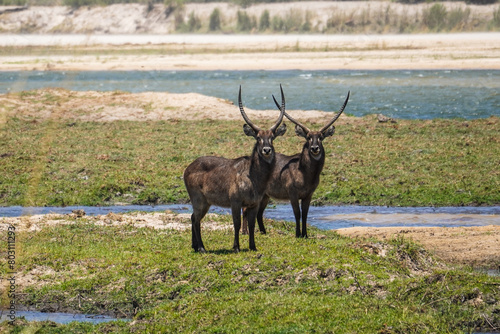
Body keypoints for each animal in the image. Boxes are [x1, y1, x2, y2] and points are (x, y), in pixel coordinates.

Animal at [184, 86, 286, 253]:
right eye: (258, 137)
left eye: (272, 137)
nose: (266, 150)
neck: (253, 177)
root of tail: (189, 167)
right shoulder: (235, 202)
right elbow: (237, 223)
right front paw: (236, 247)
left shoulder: (254, 204)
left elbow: (251, 224)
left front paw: (253, 247)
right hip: (199, 199)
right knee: (196, 218)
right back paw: (202, 248)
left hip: (206, 202)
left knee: (193, 217)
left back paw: (196, 246)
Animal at [244, 86, 350, 237]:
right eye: (308, 137)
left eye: (321, 137)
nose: (314, 148)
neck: (304, 173)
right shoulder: (293, 195)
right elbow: (297, 214)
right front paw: (298, 234)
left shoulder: (308, 195)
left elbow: (305, 214)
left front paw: (305, 234)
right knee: (247, 209)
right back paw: (246, 232)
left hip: (265, 195)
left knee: (259, 213)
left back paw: (263, 232)